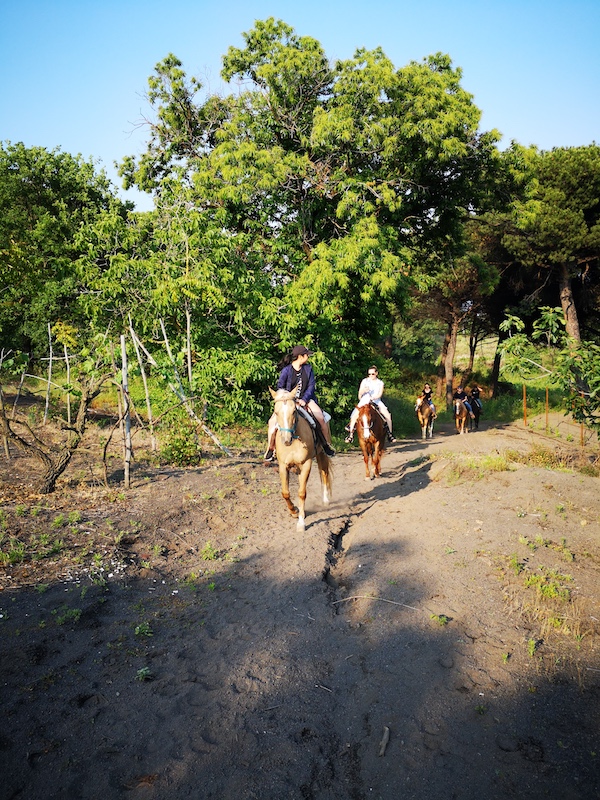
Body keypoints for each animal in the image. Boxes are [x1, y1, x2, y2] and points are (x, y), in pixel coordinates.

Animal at [270, 388, 332, 532]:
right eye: (276, 412)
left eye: (294, 411)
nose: (286, 440)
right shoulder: (283, 466)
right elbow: (285, 492)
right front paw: (294, 511)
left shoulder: (306, 464)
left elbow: (302, 493)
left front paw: (301, 523)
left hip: (322, 454)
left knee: (324, 473)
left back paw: (326, 500)